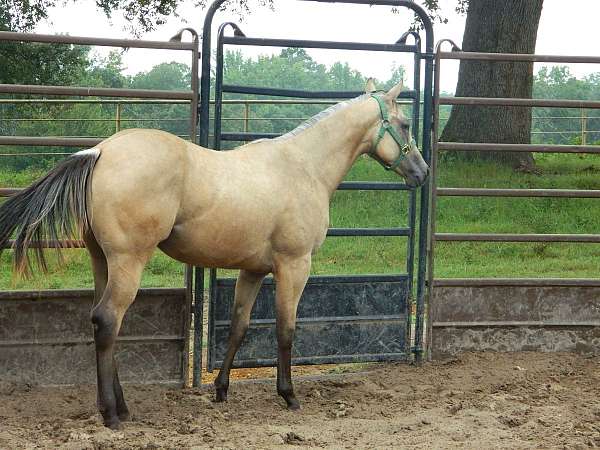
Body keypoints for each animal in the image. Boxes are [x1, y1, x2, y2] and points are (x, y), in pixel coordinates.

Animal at [0, 80, 426, 428]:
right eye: (405, 124)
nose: (421, 172)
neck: (303, 166)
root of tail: (100, 151)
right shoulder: (294, 265)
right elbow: (285, 329)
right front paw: (288, 395)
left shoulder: (253, 271)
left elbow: (238, 326)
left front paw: (221, 390)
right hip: (128, 262)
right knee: (108, 321)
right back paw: (111, 415)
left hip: (101, 261)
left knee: (100, 322)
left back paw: (122, 407)